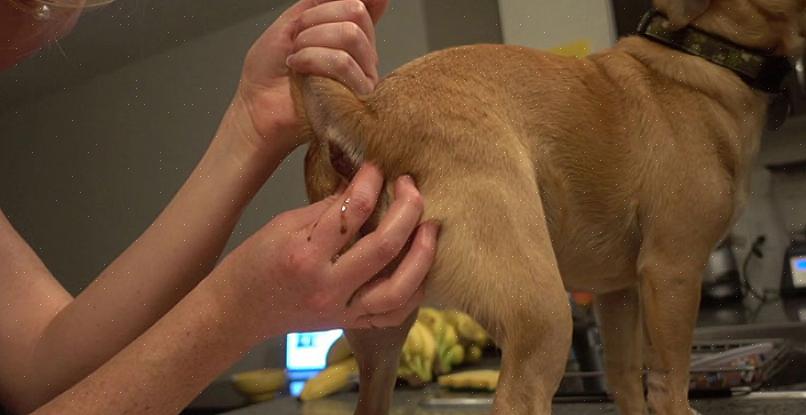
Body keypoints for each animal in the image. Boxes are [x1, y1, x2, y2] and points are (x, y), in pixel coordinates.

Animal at [296, 0, 806, 415]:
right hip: (543, 319)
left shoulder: (619, 294)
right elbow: (669, 385)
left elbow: (626, 381)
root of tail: (374, 114)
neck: (703, 54)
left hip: (381, 333)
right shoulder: (673, 272)